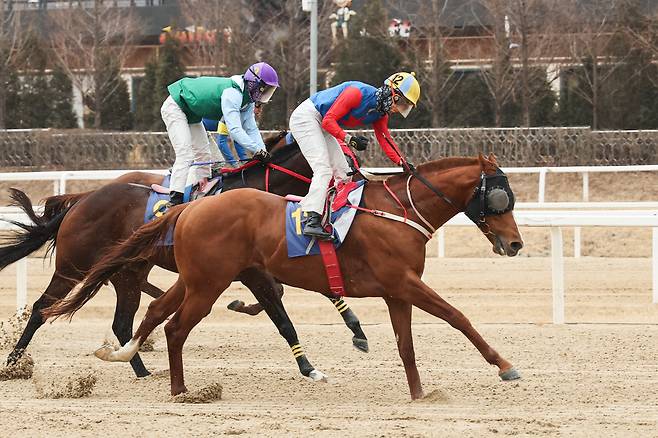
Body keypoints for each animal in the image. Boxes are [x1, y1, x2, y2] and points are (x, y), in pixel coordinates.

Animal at [0, 133, 366, 376]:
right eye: (348, 163)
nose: (355, 187)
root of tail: (81, 200)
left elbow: (309, 293)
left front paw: (356, 332)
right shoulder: (253, 267)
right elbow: (280, 304)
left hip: (128, 272)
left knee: (122, 321)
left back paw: (142, 371)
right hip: (73, 266)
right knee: (41, 307)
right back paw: (14, 363)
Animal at [44, 152, 524, 398]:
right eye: (500, 195)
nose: (516, 244)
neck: (398, 210)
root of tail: (189, 207)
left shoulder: (397, 291)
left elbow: (406, 344)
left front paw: (420, 393)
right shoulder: (403, 282)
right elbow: (457, 316)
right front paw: (504, 365)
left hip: (194, 278)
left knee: (156, 310)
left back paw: (127, 357)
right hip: (206, 283)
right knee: (175, 326)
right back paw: (180, 389)